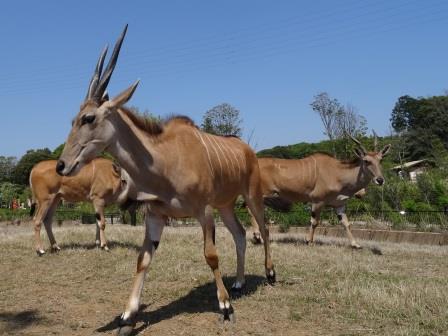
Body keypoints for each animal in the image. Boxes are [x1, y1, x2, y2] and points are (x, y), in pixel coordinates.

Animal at [55, 25, 272, 334]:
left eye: (88, 118)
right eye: (73, 119)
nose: (61, 165)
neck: (164, 162)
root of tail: (246, 149)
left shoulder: (203, 211)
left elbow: (211, 255)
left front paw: (225, 307)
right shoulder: (156, 215)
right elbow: (143, 259)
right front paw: (127, 316)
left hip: (251, 196)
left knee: (264, 230)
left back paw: (270, 273)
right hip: (226, 206)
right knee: (240, 234)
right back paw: (240, 282)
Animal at [250, 136, 390, 249]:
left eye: (381, 160)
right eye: (366, 161)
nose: (380, 180)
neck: (337, 173)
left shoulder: (339, 205)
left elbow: (346, 224)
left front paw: (355, 244)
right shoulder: (317, 201)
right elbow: (315, 222)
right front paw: (309, 241)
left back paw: (258, 238)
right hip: (262, 194)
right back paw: (257, 237)